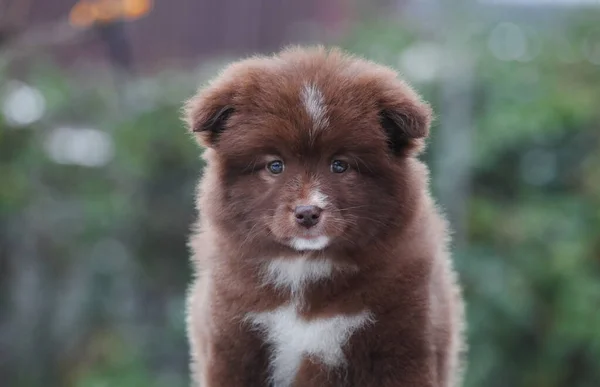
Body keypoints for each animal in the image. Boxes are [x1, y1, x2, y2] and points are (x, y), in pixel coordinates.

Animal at [185, 46, 466, 387]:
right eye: (275, 165)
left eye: (340, 165)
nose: (308, 212)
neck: (305, 271)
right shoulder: (233, 340)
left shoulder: (402, 340)